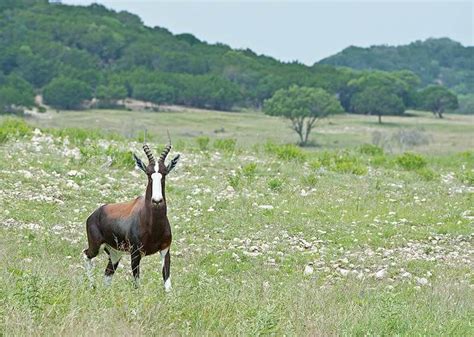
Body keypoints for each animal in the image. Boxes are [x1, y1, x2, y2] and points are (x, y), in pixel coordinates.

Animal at [81, 140, 180, 290]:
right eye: (148, 174)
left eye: (164, 173)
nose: (157, 200)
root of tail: (94, 214)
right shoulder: (135, 253)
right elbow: (136, 284)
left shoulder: (165, 250)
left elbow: (167, 284)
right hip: (96, 246)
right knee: (86, 254)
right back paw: (92, 285)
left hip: (115, 253)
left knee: (108, 274)